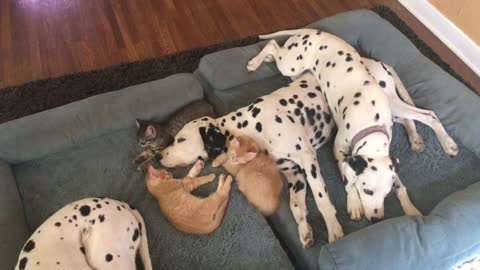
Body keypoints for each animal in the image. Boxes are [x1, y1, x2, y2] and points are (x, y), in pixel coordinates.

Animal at [246, 29, 460, 221]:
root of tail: (314, 31)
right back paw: (256, 61)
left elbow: (400, 185)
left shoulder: (388, 159)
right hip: (291, 65)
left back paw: (435, 142)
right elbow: (347, 180)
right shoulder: (338, 149)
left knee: (425, 115)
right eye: (367, 190)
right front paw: (354, 204)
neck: (370, 124)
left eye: (385, 194)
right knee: (273, 45)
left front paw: (410, 208)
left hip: (392, 105)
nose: (376, 219)